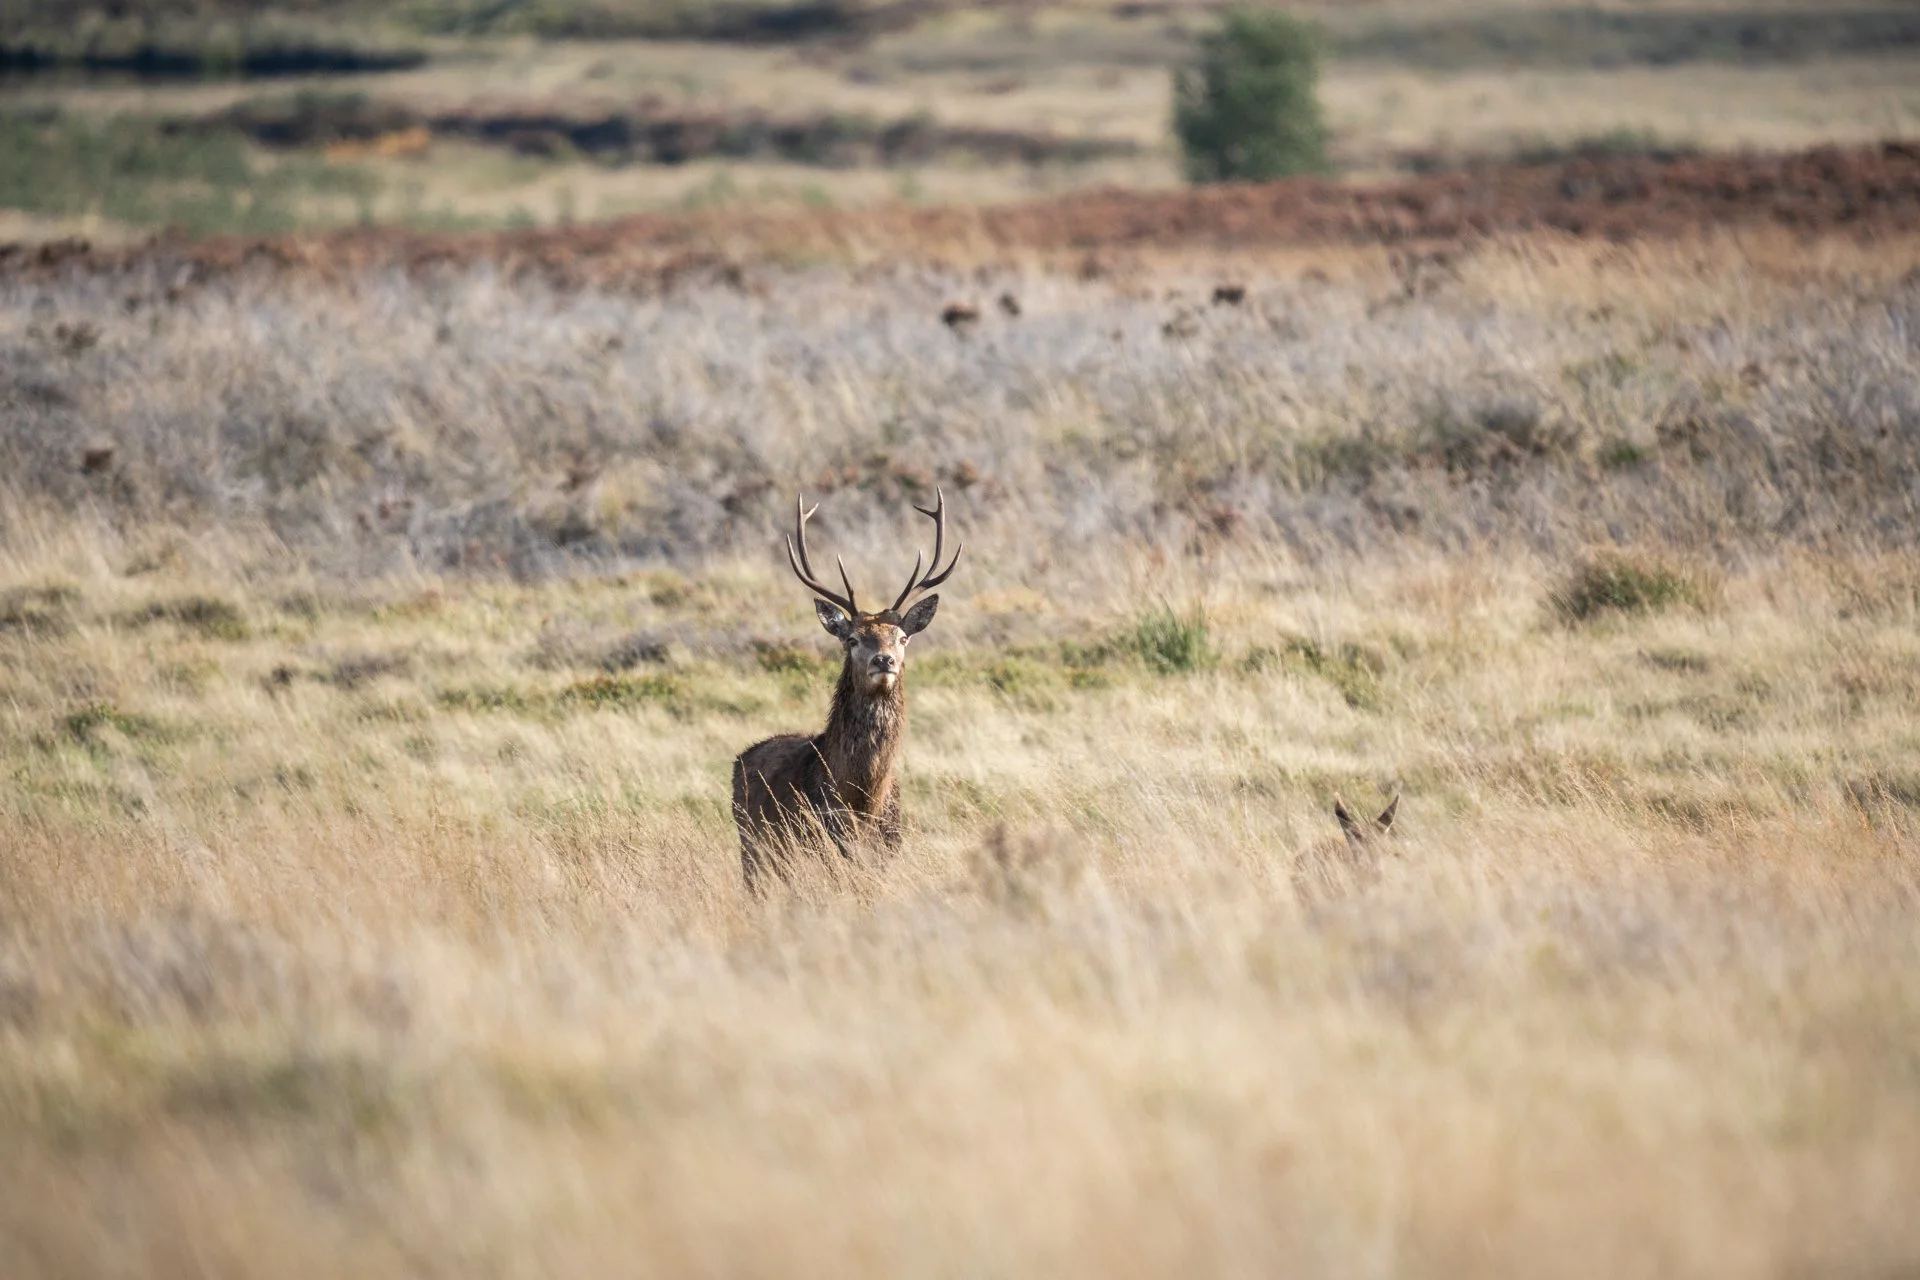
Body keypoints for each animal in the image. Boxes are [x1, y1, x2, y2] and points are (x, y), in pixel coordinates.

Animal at [732, 491, 962, 889]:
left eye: (902, 637)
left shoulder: (888, 851)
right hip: (753, 845)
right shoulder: (817, 841)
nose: (884, 661)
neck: (860, 800)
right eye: (852, 639)